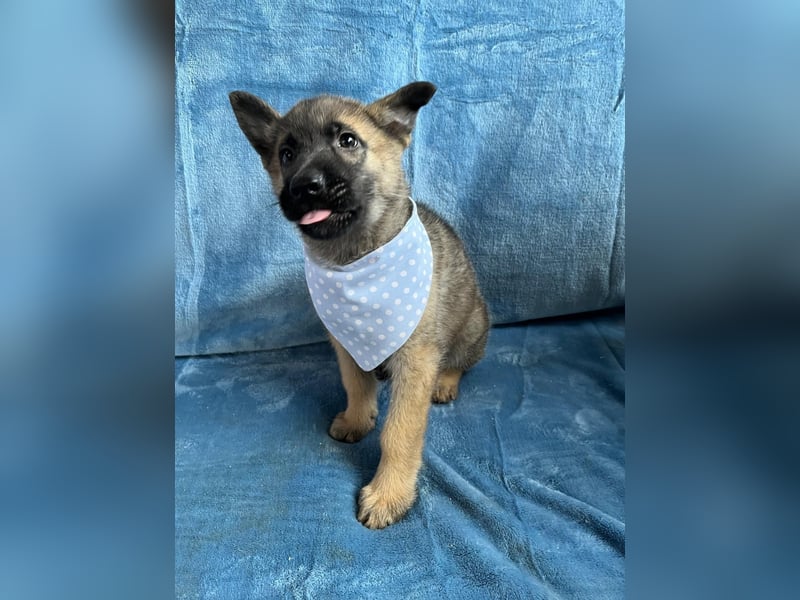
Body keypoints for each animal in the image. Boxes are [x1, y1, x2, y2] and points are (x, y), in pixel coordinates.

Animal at [229, 82, 489, 528]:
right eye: (287, 153)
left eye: (347, 141)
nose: (305, 187)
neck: (355, 262)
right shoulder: (346, 341)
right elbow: (355, 384)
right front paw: (357, 418)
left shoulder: (416, 360)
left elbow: (399, 432)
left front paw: (389, 494)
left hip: (471, 325)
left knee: (459, 360)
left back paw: (445, 381)